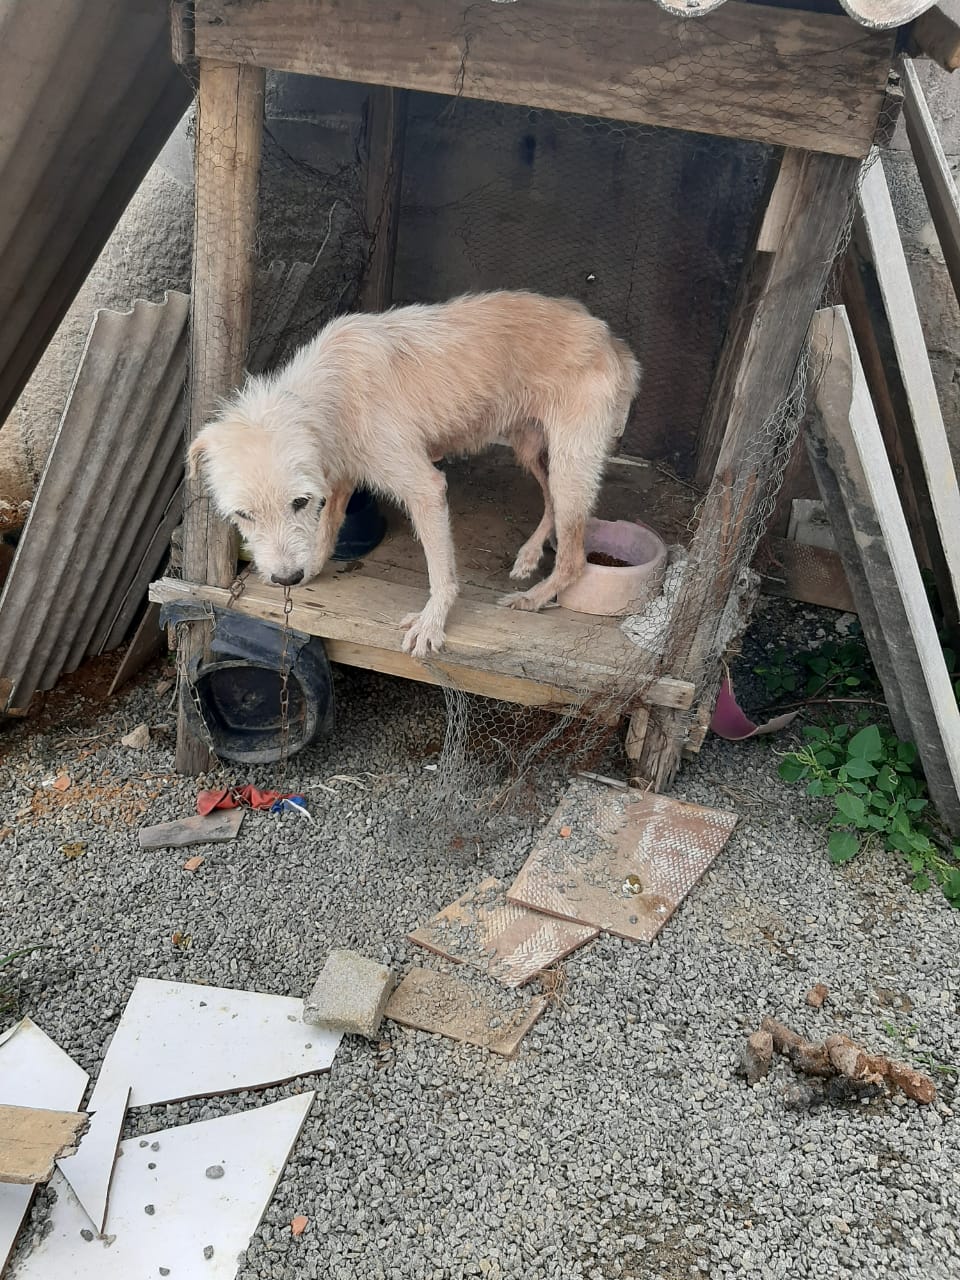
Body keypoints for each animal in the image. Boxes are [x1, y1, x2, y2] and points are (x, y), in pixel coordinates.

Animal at [188, 291, 640, 657]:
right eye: (244, 515)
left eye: (298, 502)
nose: (286, 576)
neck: (331, 393)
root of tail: (610, 337)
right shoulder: (338, 476)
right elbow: (327, 529)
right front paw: (313, 568)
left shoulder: (425, 487)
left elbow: (441, 573)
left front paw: (431, 623)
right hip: (530, 448)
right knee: (550, 503)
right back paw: (530, 555)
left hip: (570, 462)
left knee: (574, 556)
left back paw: (534, 597)